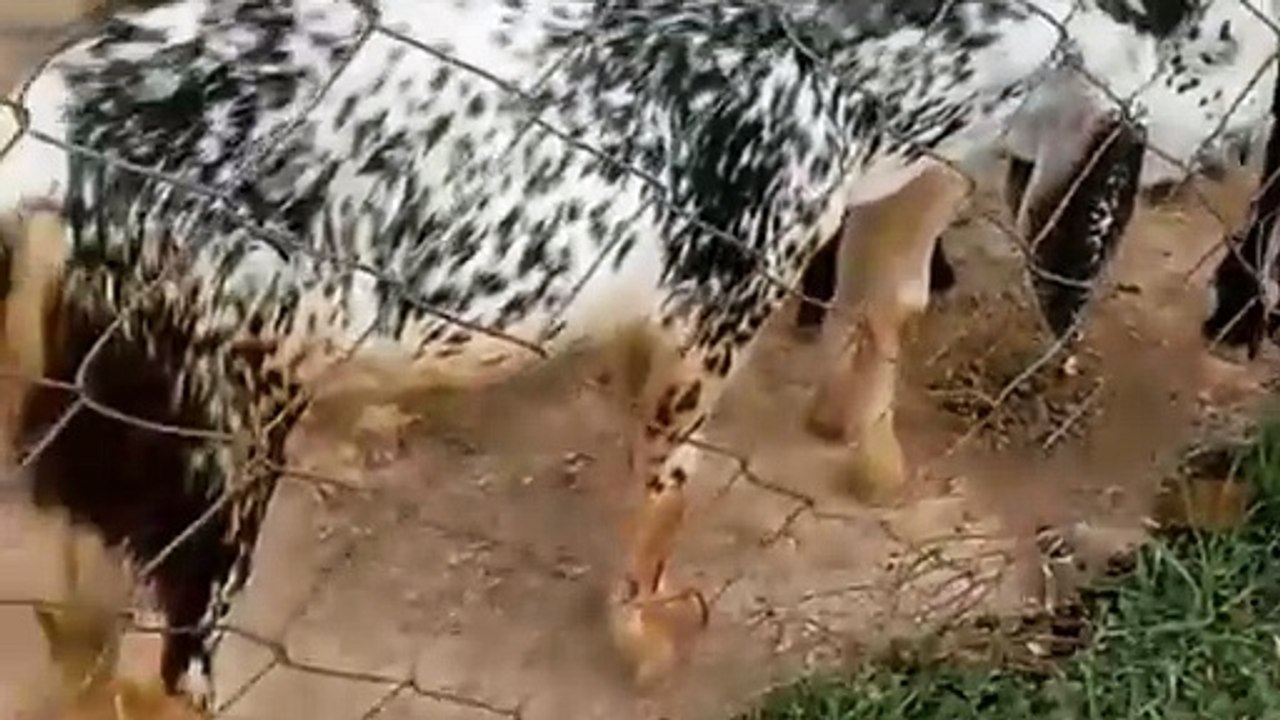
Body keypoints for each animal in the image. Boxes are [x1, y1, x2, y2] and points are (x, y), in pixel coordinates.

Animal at [0, 0, 1271, 705]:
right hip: (210, 451)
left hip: (90, 443)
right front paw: (650, 638)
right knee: (156, 680)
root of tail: (46, 148)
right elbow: (667, 490)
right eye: (1239, 42)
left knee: (75, 641)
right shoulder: (719, 301)